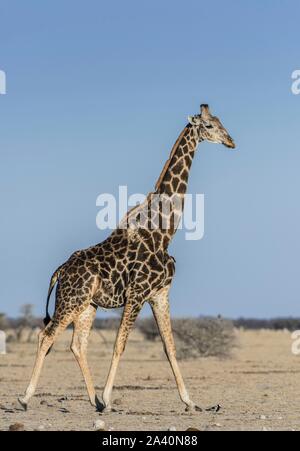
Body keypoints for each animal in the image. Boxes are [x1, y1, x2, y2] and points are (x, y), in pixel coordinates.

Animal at [18, 105, 236, 414]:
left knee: (77, 344)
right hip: (71, 302)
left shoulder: (160, 294)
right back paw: (26, 398)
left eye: (219, 122)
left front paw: (191, 402)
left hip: (87, 305)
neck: (163, 233)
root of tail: (59, 271)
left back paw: (93, 400)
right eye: (208, 125)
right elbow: (119, 345)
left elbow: (170, 347)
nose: (231, 141)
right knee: (46, 335)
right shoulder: (137, 293)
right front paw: (109, 398)